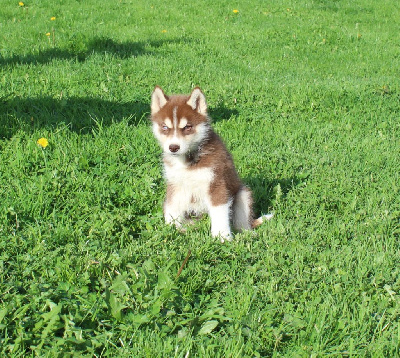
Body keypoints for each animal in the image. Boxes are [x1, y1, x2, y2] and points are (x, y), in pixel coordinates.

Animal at [150, 85, 272, 242]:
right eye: (165, 127)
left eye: (187, 127)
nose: (173, 147)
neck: (187, 161)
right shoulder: (175, 184)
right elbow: (171, 207)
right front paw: (172, 229)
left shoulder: (216, 183)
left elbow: (220, 213)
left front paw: (222, 237)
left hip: (242, 194)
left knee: (241, 223)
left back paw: (247, 233)